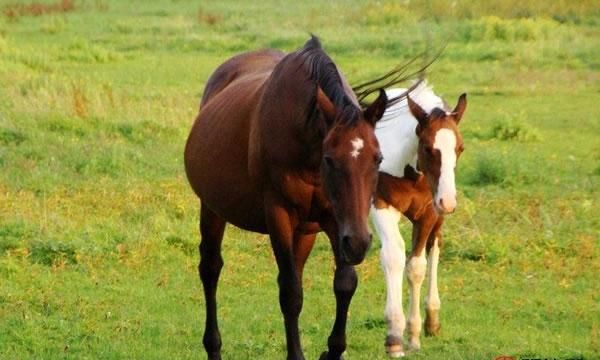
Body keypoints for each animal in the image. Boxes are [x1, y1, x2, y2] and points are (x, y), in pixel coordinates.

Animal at [184, 35, 390, 358]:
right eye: (330, 159)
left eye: (378, 159)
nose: (359, 243)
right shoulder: (278, 214)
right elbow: (291, 294)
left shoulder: (336, 220)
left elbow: (344, 283)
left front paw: (330, 351)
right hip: (212, 209)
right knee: (211, 267)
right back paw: (213, 346)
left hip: (305, 231)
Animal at [372, 82, 466, 358]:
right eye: (427, 148)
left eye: (460, 148)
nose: (449, 201)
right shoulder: (380, 204)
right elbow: (393, 256)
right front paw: (394, 336)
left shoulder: (428, 213)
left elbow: (416, 266)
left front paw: (413, 336)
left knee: (435, 246)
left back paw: (432, 318)